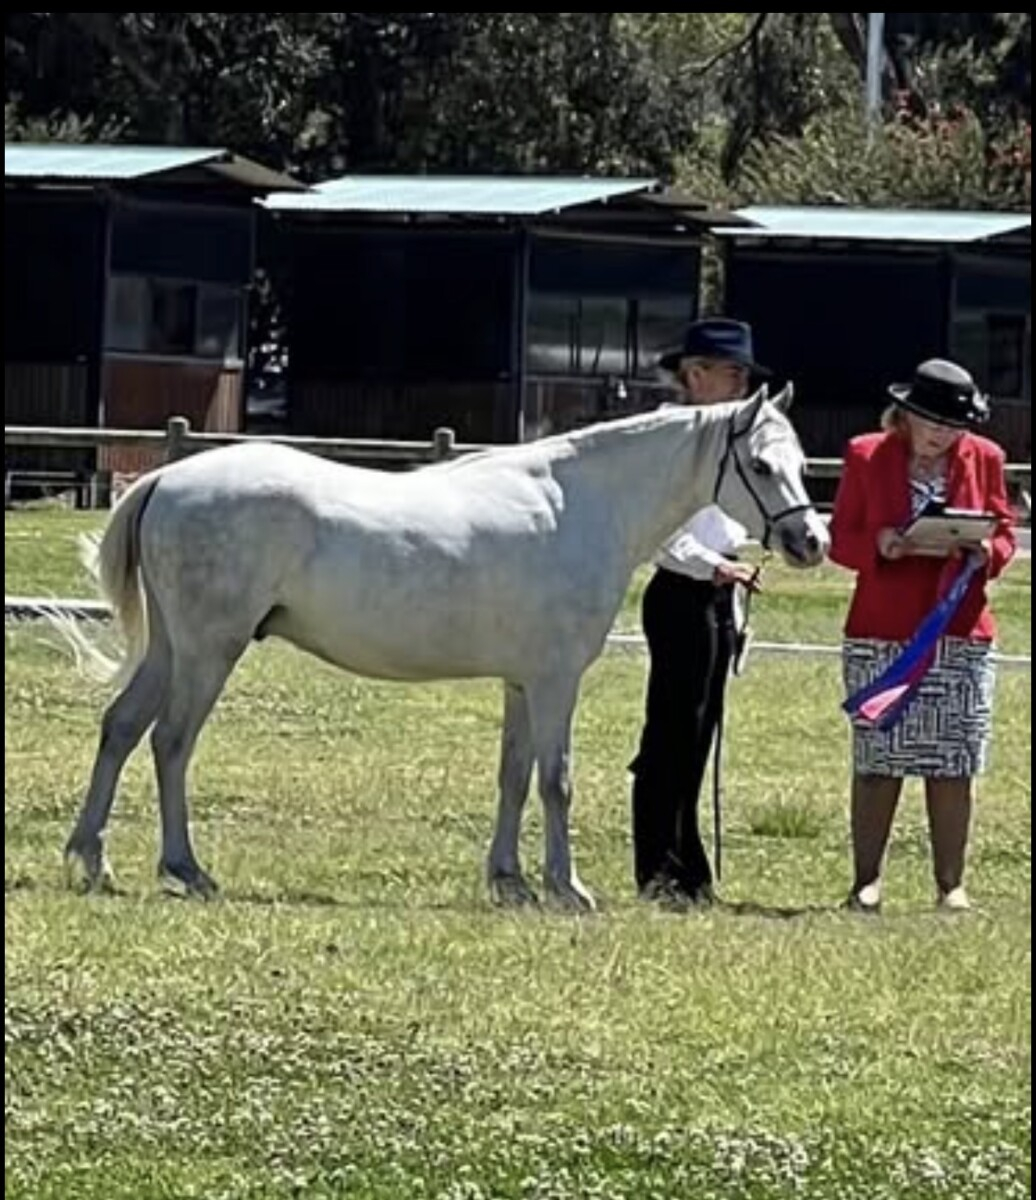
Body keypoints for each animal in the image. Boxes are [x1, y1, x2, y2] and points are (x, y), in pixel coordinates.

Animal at [58, 387, 828, 911]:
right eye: (761, 466)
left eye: (798, 461)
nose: (810, 542)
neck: (577, 504)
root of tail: (166, 479)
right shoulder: (556, 681)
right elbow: (557, 781)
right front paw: (568, 887)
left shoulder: (521, 682)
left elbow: (514, 776)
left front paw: (510, 881)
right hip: (209, 650)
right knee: (170, 742)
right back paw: (185, 868)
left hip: (174, 648)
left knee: (122, 727)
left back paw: (91, 859)